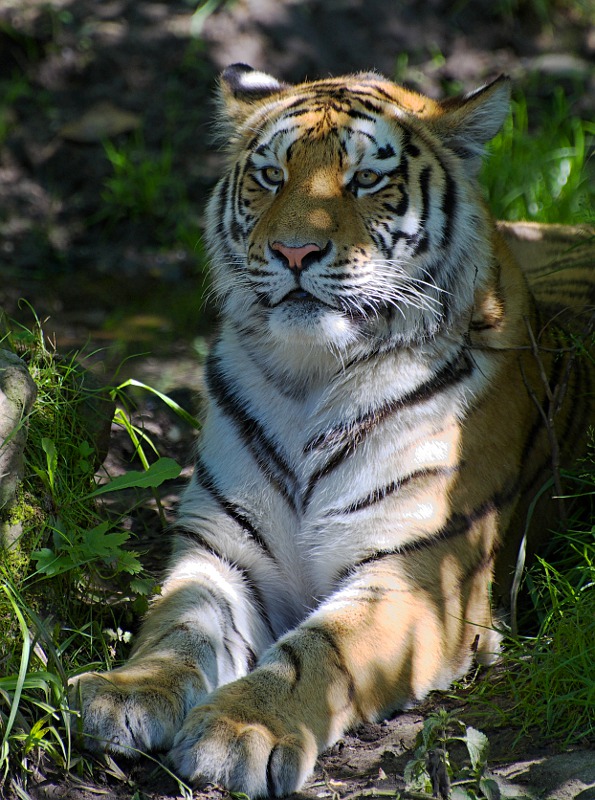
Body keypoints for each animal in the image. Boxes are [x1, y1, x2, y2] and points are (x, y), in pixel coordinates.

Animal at [74, 65, 595, 796]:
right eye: (270, 175)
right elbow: (180, 622)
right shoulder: (223, 546)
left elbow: (319, 651)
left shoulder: (418, 570)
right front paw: (129, 691)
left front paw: (242, 729)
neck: (309, 377)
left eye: (366, 180)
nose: (294, 250)